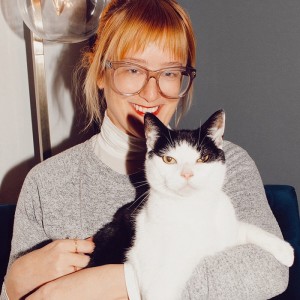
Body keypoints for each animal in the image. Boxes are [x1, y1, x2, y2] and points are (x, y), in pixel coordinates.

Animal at [88, 110, 294, 300]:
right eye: (169, 159)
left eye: (203, 158)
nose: (187, 174)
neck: (193, 208)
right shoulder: (150, 264)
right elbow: (163, 284)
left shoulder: (226, 231)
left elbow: (250, 230)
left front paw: (285, 250)